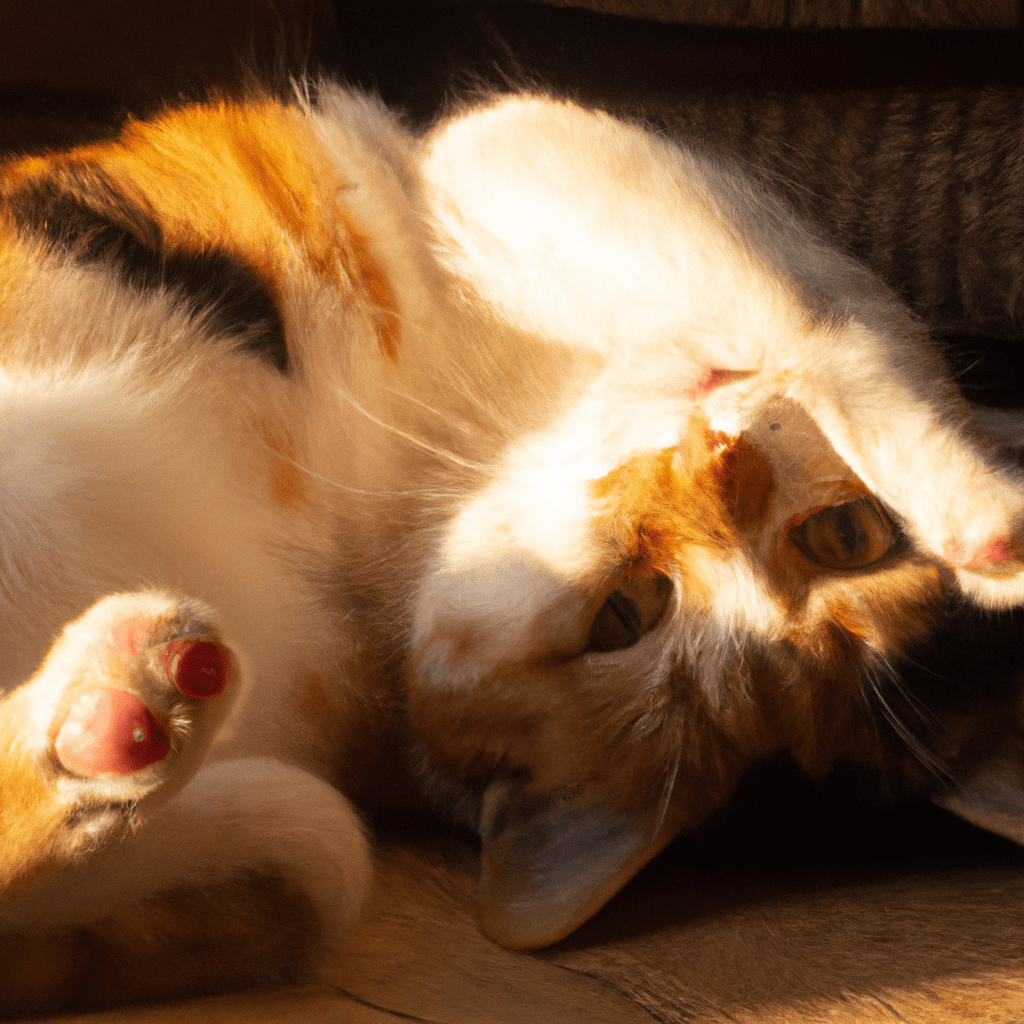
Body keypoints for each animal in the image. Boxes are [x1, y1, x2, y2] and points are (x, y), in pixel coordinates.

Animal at [0, 77, 1024, 1007]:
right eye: (849, 533)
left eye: (625, 614)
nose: (719, 458)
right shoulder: (504, 159)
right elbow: (836, 313)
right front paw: (986, 527)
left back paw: (118, 722)